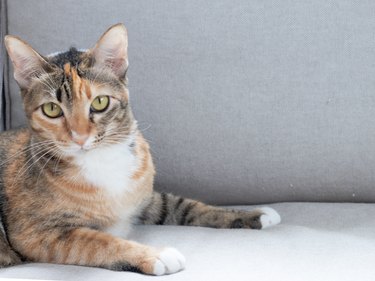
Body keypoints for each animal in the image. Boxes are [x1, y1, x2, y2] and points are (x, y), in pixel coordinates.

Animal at [0, 23, 282, 274]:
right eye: (51, 109)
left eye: (100, 102)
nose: (80, 137)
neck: (101, 161)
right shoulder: (36, 234)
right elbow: (96, 241)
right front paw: (156, 255)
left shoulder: (145, 197)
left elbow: (185, 205)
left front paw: (255, 215)